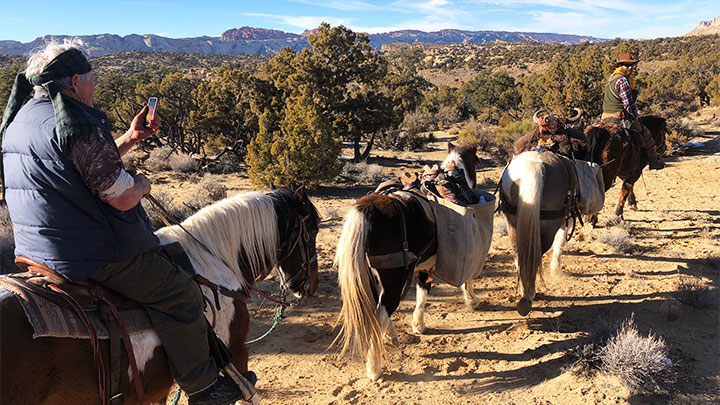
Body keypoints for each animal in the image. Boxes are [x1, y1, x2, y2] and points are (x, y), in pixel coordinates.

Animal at [336, 141, 496, 378]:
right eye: (476, 159)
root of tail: (368, 209)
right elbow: (463, 281)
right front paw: (472, 301)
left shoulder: (423, 266)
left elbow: (422, 294)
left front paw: (418, 325)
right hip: (394, 278)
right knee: (381, 311)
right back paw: (374, 367)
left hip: (370, 275)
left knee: (375, 311)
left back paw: (389, 338)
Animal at [498, 151, 584, 316]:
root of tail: (535, 164)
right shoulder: (565, 220)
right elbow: (560, 243)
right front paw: (556, 270)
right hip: (550, 225)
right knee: (534, 255)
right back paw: (528, 297)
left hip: (511, 222)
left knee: (519, 254)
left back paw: (524, 293)